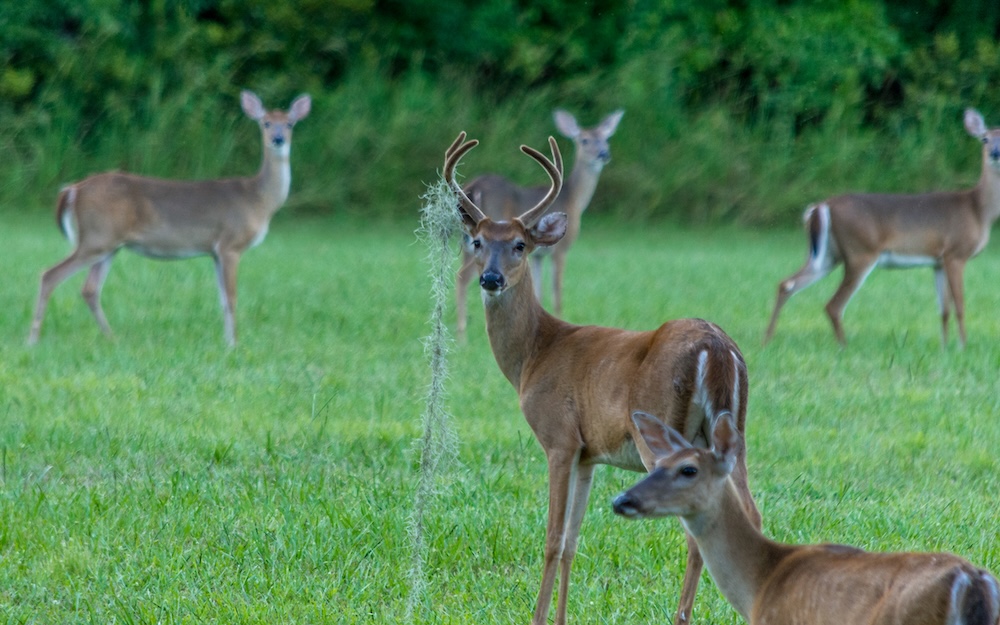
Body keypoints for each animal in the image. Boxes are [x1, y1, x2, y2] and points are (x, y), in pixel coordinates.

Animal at [27, 90, 311, 347]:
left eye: (289, 123)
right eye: (265, 122)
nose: (277, 139)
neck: (258, 199)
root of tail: (73, 189)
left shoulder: (215, 251)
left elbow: (222, 299)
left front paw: (227, 342)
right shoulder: (231, 244)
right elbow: (232, 298)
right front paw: (234, 345)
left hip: (108, 244)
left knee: (89, 289)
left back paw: (112, 338)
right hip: (97, 238)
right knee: (50, 275)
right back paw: (33, 340)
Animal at [454, 108, 624, 337]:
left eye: (605, 139)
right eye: (585, 140)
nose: (603, 154)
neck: (574, 199)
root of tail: (473, 187)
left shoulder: (536, 255)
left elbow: (539, 292)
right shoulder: (560, 250)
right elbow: (556, 292)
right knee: (462, 277)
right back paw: (462, 335)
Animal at [764, 108, 1000, 348]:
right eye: (984, 138)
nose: (995, 153)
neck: (978, 210)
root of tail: (821, 206)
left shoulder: (939, 261)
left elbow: (943, 310)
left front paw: (945, 348)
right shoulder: (956, 254)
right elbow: (960, 306)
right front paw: (962, 346)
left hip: (828, 255)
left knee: (787, 284)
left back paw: (767, 340)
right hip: (861, 252)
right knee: (833, 305)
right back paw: (843, 347)